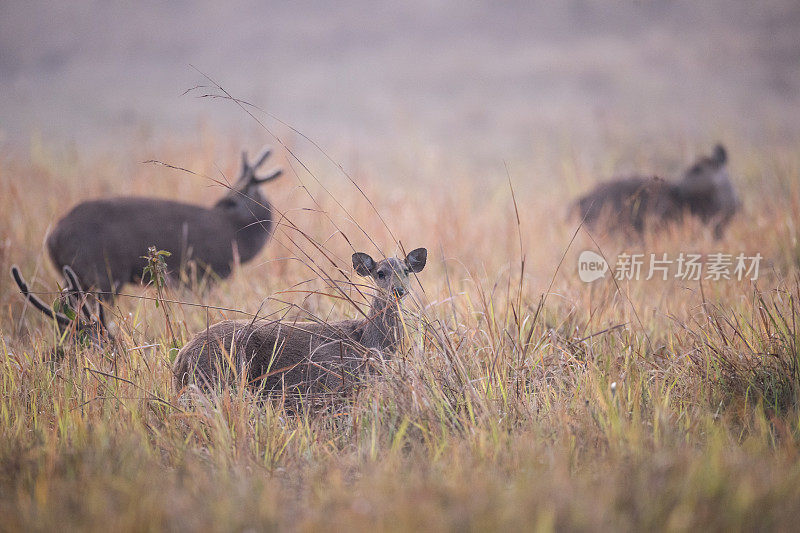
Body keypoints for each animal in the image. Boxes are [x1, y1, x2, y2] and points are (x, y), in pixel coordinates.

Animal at [47, 147, 282, 300]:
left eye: (232, 199)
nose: (221, 204)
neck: (237, 235)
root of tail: (53, 236)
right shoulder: (200, 273)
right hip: (102, 273)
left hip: (77, 276)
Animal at [172, 246, 428, 394]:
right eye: (380, 273)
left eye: (406, 270)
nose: (398, 290)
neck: (368, 343)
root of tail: (182, 357)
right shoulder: (333, 382)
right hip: (216, 378)